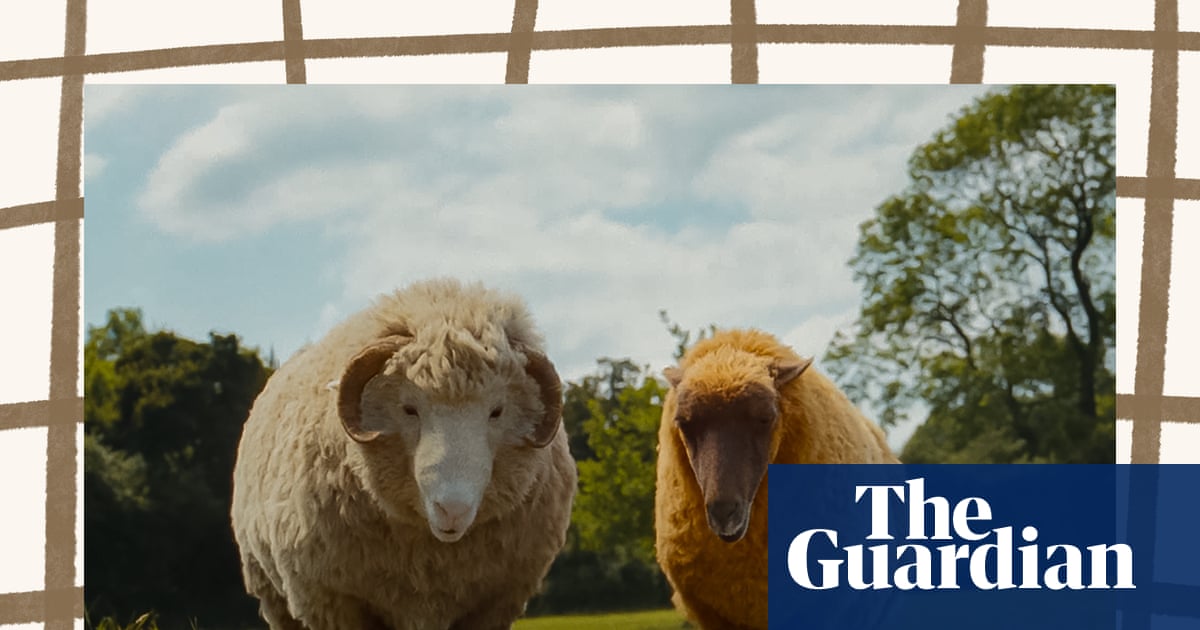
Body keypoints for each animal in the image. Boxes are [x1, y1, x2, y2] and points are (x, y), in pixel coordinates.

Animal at [230, 278, 577, 630]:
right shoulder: (336, 602)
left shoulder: (494, 602)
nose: (452, 510)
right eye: (409, 409)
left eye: (497, 411)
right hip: (275, 597)